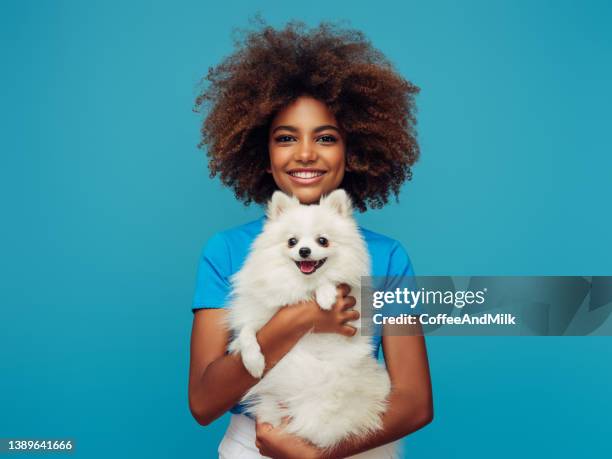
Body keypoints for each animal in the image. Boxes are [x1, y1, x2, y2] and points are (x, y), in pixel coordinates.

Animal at [225, 189, 396, 458]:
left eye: (323, 241)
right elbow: (247, 333)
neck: (301, 285)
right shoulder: (259, 316)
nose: (304, 251)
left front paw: (325, 296)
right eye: (292, 242)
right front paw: (254, 362)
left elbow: (329, 281)